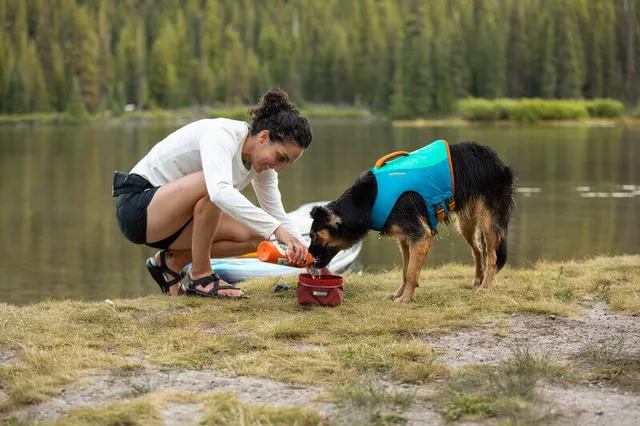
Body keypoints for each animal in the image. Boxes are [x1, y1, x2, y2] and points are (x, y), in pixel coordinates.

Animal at [308, 141, 516, 302]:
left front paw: (406, 298)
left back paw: (485, 286)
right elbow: (406, 270)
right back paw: (478, 278)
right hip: (466, 224)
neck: (369, 200)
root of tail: (496, 158)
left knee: (492, 256)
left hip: (488, 221)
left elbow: (410, 272)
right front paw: (400, 293)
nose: (307, 259)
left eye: (313, 235)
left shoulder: (419, 236)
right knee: (478, 250)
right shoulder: (405, 239)